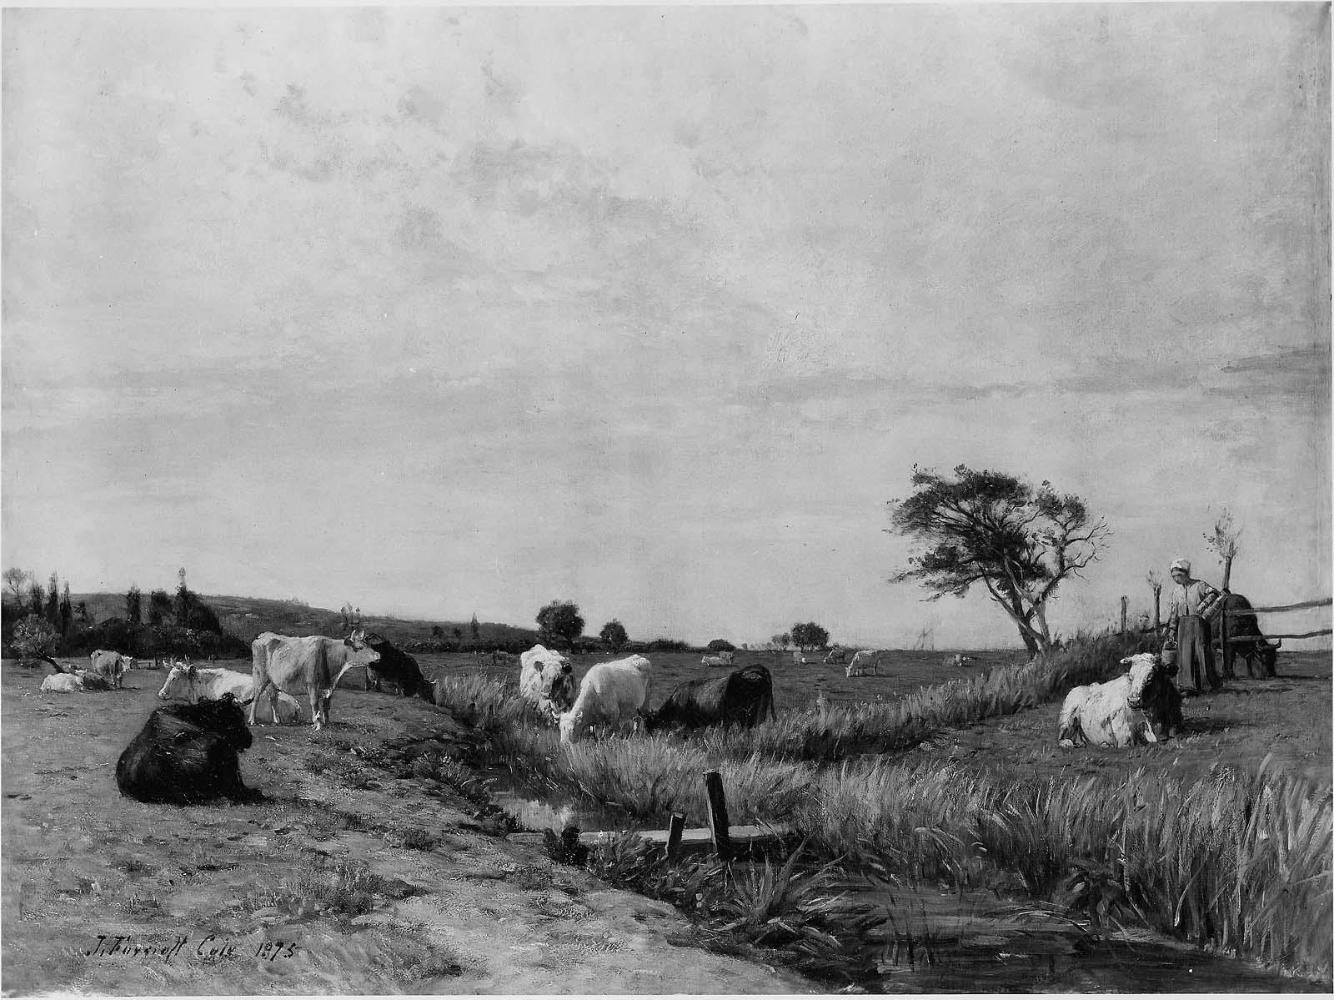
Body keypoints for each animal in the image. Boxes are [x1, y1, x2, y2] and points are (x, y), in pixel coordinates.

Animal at [249, 629, 381, 730]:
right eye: (360, 647)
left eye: (369, 645)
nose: (378, 655)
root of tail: (264, 635)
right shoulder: (312, 683)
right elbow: (314, 703)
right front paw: (317, 724)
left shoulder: (329, 687)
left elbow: (326, 705)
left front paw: (327, 723)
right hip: (260, 675)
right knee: (256, 697)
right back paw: (252, 720)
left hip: (273, 681)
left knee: (273, 698)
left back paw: (277, 720)